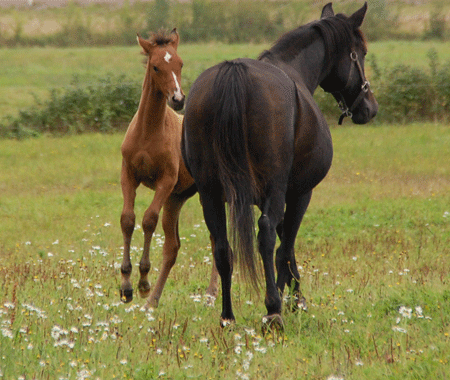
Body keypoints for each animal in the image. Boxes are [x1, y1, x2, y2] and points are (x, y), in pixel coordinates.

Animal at [181, 2, 378, 326]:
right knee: (266, 236)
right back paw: (273, 308)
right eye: (360, 52)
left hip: (209, 192)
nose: (369, 107)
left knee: (222, 247)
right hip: (272, 187)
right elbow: (285, 246)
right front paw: (289, 297)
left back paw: (227, 316)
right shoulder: (298, 193)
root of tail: (234, 74)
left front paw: (295, 296)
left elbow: (284, 244)